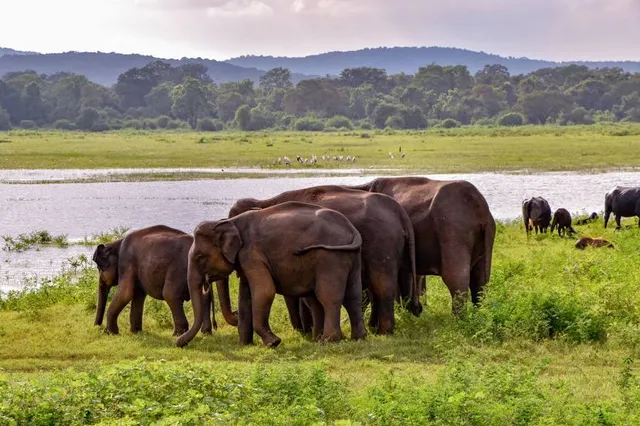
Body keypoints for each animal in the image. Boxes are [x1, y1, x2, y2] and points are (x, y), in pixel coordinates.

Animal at [175, 201, 364, 348]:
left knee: (328, 297)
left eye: (200, 257)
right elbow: (246, 297)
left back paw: (329, 341)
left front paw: (273, 343)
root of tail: (351, 229)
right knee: (353, 296)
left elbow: (265, 291)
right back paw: (357, 338)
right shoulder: (246, 259)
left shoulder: (252, 254)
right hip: (351, 257)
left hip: (330, 258)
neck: (230, 222)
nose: (178, 343)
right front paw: (245, 344)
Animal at [218, 185, 422, 334]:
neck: (266, 202)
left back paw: (383, 332)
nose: (235, 314)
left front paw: (304, 331)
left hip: (382, 243)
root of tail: (399, 211)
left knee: (382, 286)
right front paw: (306, 331)